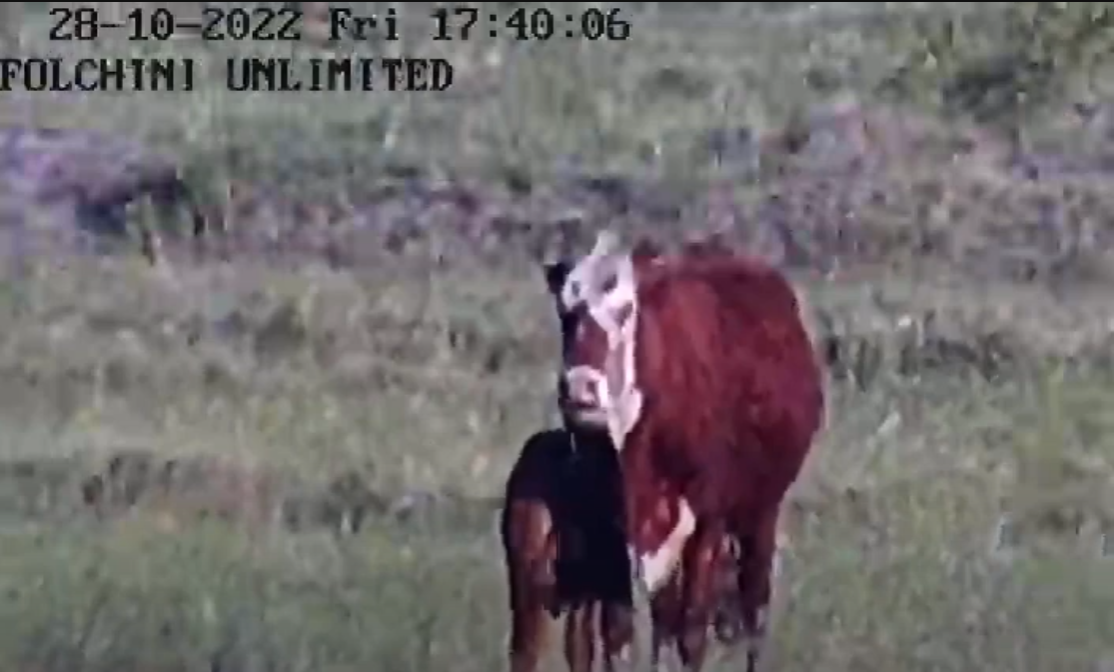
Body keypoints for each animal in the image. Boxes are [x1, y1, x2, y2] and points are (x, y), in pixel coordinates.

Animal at [542, 230, 825, 672]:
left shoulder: (708, 519)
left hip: (761, 510)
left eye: (625, 310)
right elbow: (624, 630)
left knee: (754, 606)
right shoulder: (615, 526)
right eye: (564, 312)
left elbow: (692, 630)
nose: (579, 388)